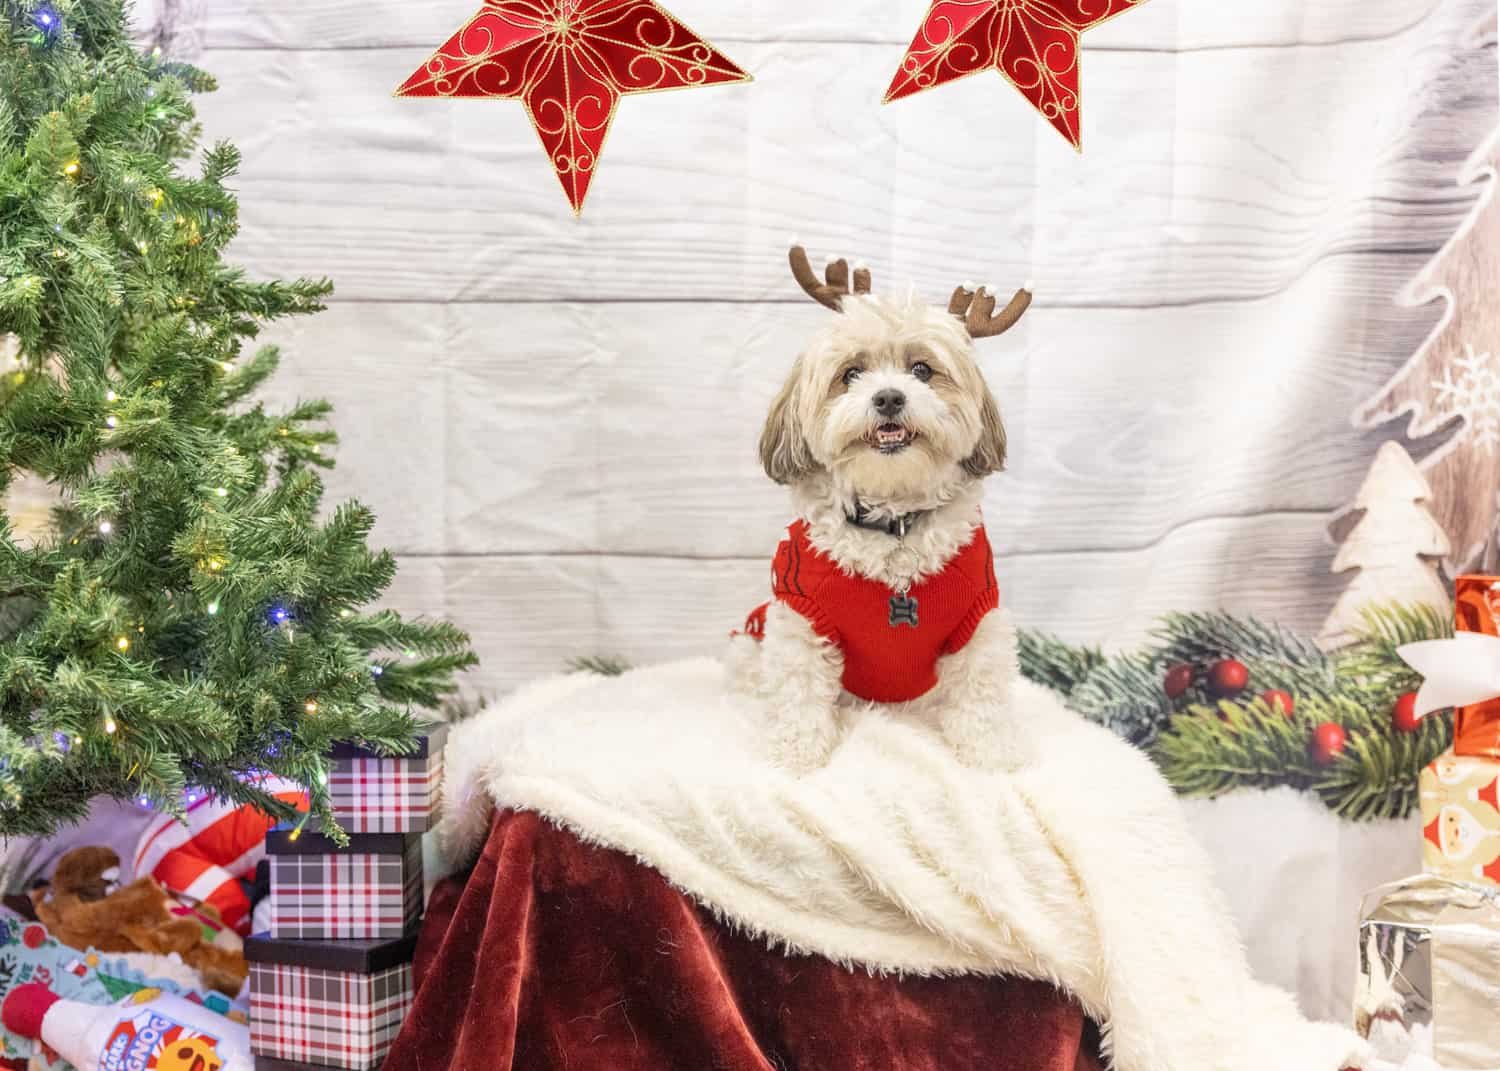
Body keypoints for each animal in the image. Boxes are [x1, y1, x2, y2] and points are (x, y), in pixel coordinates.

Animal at [732, 246, 1038, 774]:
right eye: (851, 374)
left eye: (922, 370)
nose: (889, 397)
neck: (893, 525)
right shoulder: (799, 618)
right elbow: (799, 693)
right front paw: (794, 756)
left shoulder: (977, 621)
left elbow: (981, 695)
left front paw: (991, 756)